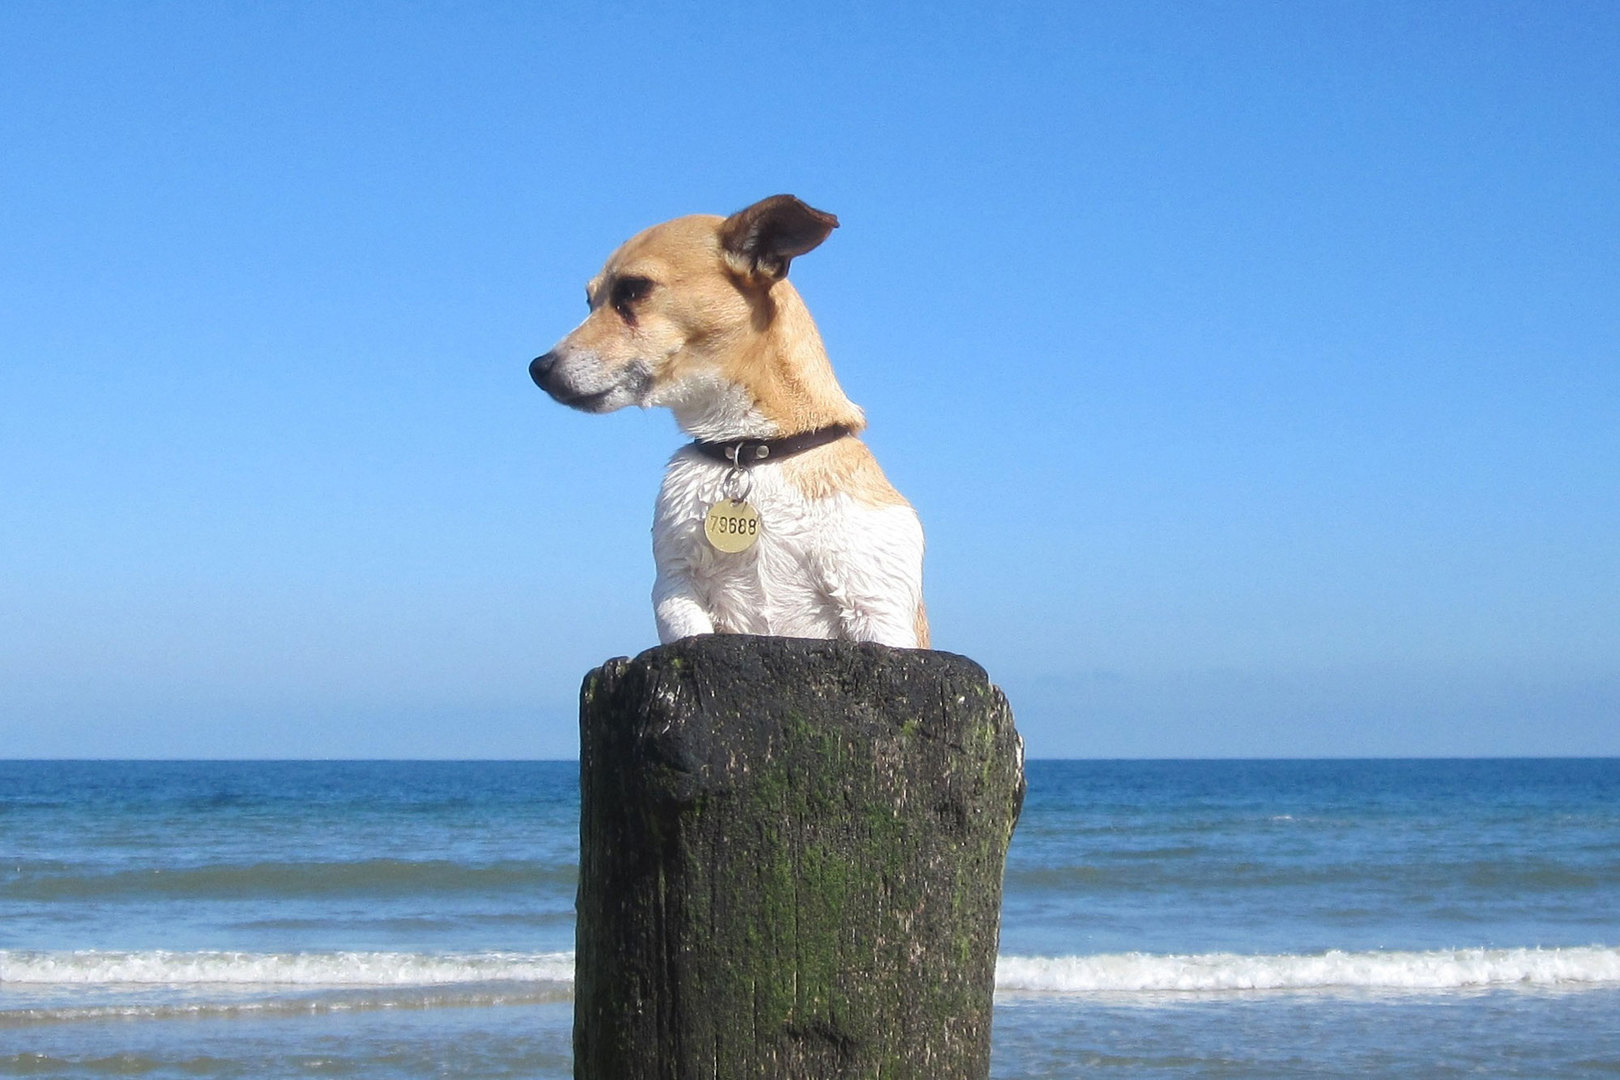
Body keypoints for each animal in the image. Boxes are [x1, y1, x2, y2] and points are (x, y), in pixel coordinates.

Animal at [531, 194, 933, 650]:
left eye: (633, 289)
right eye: (589, 301)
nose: (537, 367)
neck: (748, 448)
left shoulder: (877, 610)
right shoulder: (676, 590)